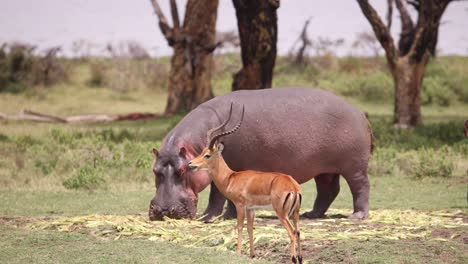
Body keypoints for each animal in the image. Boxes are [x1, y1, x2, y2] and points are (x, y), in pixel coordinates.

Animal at [148, 87, 374, 222]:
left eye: (184, 169)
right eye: (155, 170)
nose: (163, 211)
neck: (198, 143)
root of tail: (361, 113)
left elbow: (217, 195)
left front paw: (208, 217)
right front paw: (229, 216)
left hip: (354, 166)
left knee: (360, 186)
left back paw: (356, 217)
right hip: (324, 169)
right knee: (328, 189)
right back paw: (311, 214)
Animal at [187, 105, 304, 264]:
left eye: (207, 155)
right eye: (201, 151)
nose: (190, 164)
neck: (230, 178)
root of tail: (293, 187)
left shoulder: (240, 205)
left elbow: (239, 226)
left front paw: (237, 252)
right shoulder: (251, 208)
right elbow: (250, 228)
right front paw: (252, 255)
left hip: (282, 213)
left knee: (292, 232)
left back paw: (293, 258)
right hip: (295, 213)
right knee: (298, 231)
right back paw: (300, 258)